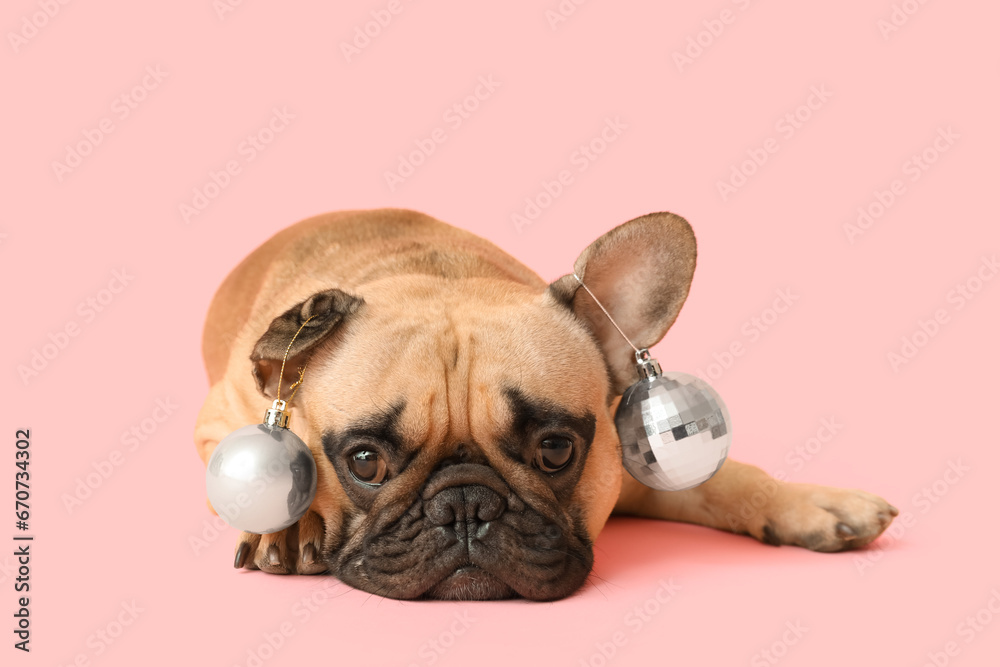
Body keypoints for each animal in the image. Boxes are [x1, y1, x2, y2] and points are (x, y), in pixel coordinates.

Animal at [195, 211, 900, 604]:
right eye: (364, 462)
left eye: (556, 450)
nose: (465, 506)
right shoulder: (216, 424)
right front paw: (289, 526)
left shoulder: (629, 459)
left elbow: (724, 480)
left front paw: (811, 504)